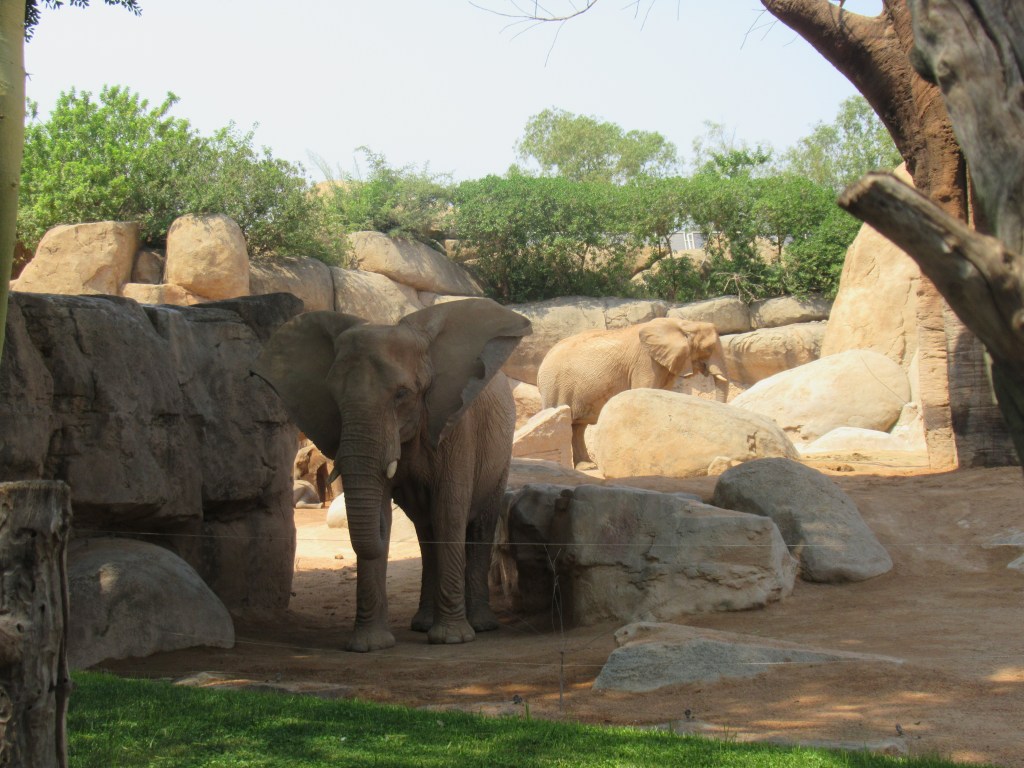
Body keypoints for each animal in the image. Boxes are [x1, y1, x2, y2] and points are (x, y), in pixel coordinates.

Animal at [252, 298, 531, 652]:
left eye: (402, 394)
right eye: (333, 397)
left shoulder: (455, 425)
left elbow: (449, 511)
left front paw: (452, 640)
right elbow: (396, 510)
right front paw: (369, 646)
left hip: (500, 455)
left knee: (477, 523)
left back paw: (480, 626)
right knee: (426, 532)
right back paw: (422, 624)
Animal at [536, 317, 728, 465]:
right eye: (708, 349)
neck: (684, 323)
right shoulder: (645, 363)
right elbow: (645, 390)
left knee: (577, 427)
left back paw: (587, 466)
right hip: (554, 385)